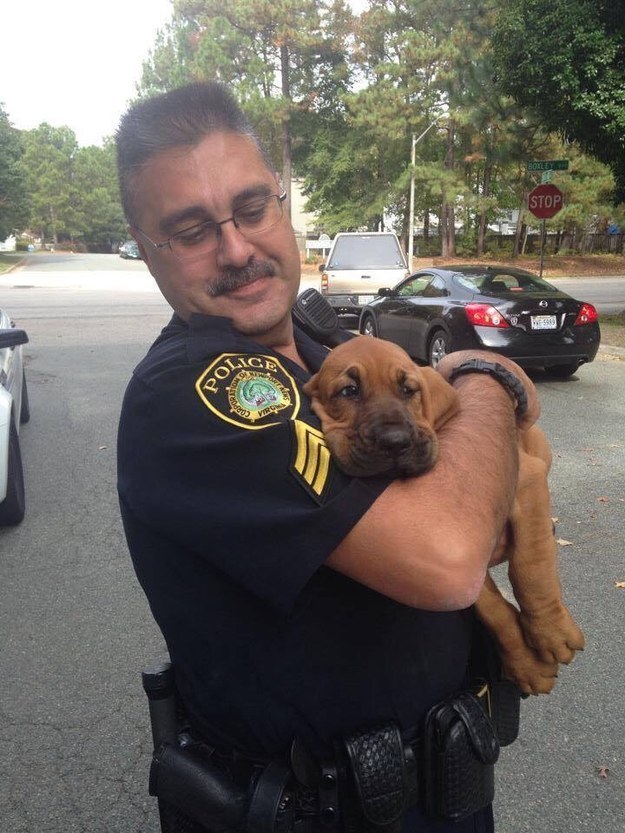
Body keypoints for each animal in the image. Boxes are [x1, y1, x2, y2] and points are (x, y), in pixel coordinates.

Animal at [304, 334, 584, 692]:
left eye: (408, 390)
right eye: (348, 391)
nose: (395, 441)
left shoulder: (530, 478)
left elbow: (531, 564)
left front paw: (550, 632)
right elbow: (489, 606)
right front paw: (526, 664)